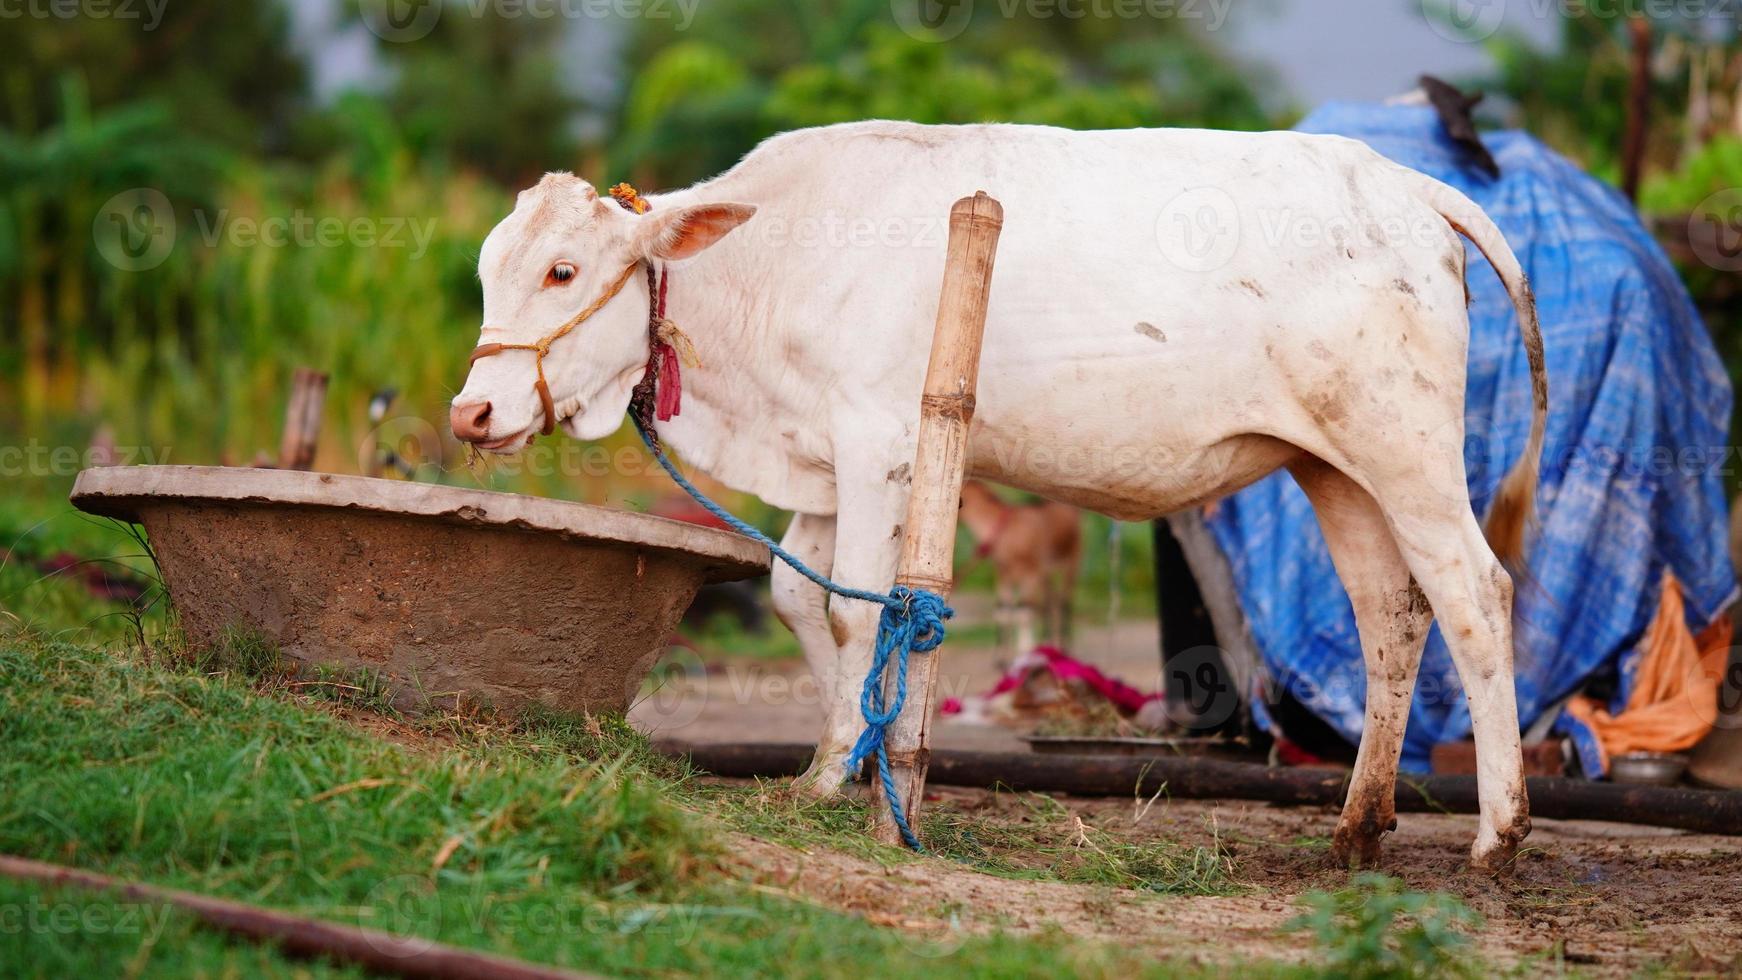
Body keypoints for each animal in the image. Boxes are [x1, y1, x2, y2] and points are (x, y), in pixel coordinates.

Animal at [456, 122, 1546, 873]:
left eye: (563, 270)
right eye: (486, 270)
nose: (471, 410)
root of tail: (1403, 184)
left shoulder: (877, 443)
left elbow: (859, 615)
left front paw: (831, 774)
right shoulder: (823, 456)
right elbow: (801, 596)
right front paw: (855, 762)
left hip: (1403, 450)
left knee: (1474, 596)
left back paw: (1496, 835)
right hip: (1333, 466)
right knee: (1389, 611)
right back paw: (1356, 827)